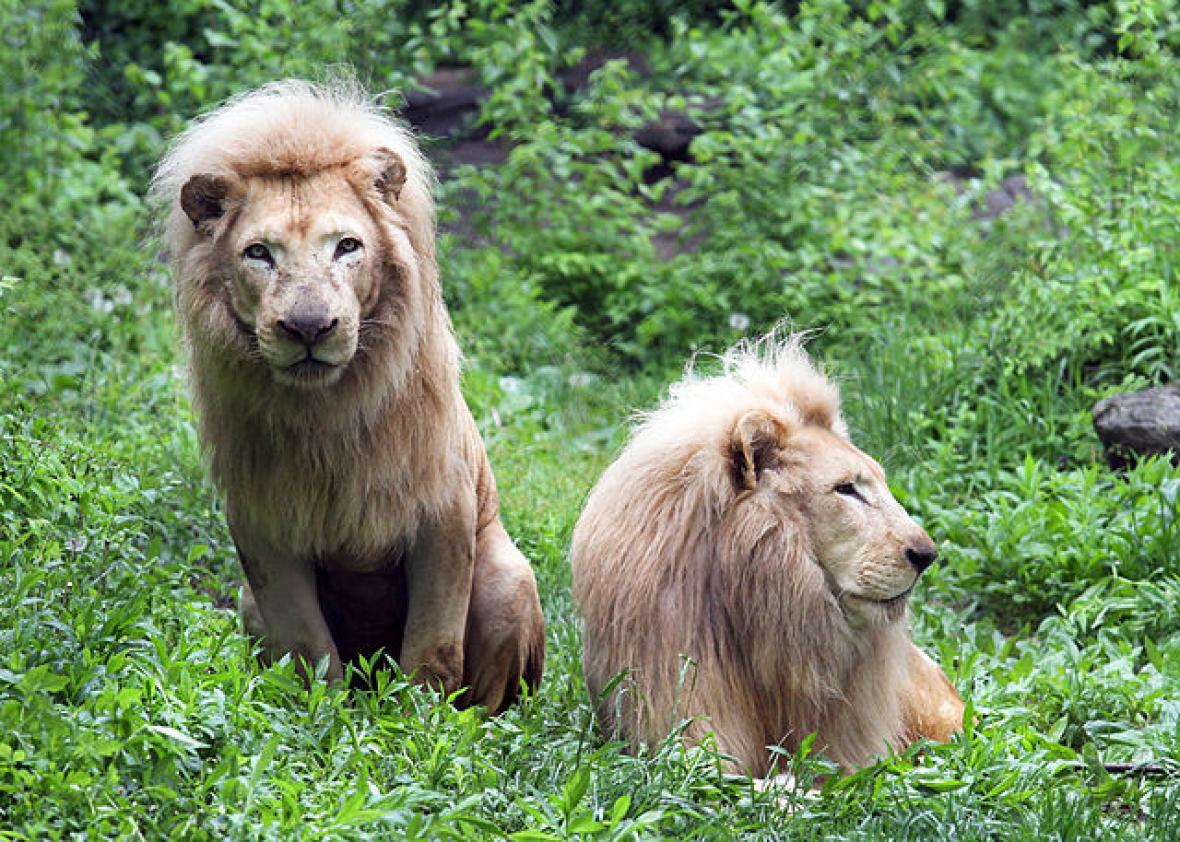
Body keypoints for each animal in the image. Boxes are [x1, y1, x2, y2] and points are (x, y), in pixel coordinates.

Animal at [151, 81, 544, 713]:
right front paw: (324, 716)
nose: (309, 327)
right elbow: (307, 646)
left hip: (510, 576)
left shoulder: (444, 510)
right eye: (259, 253)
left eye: (347, 247)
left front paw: (415, 722)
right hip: (246, 601)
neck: (326, 413)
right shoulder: (261, 524)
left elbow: (433, 648)